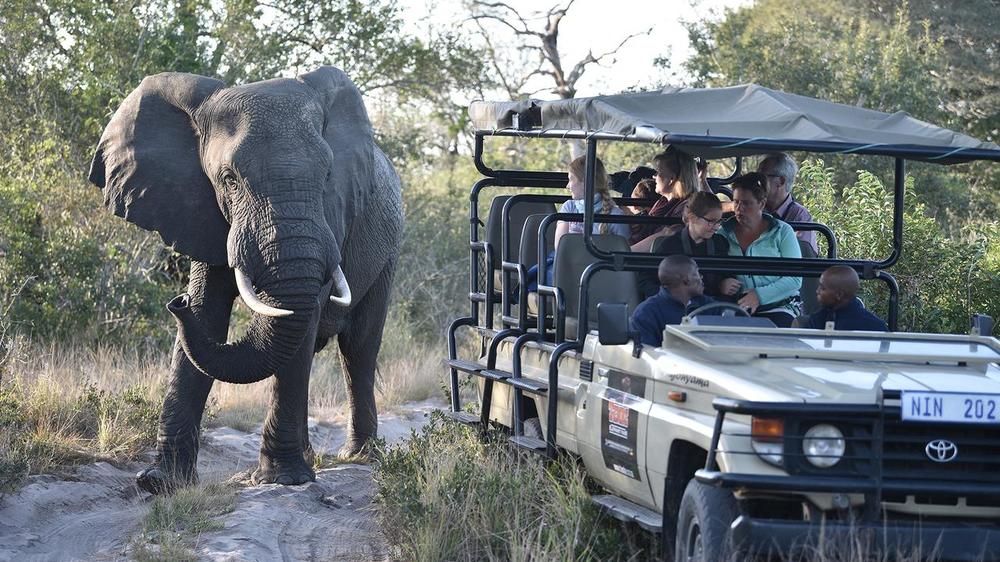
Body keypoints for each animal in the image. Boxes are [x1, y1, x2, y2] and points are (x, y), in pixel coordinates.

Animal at [87, 66, 403, 493]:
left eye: (326, 175)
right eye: (229, 179)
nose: (176, 302)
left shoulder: (332, 217)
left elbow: (302, 318)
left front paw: (282, 480)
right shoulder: (200, 208)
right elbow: (208, 316)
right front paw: (159, 483)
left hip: (389, 251)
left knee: (358, 349)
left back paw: (358, 456)